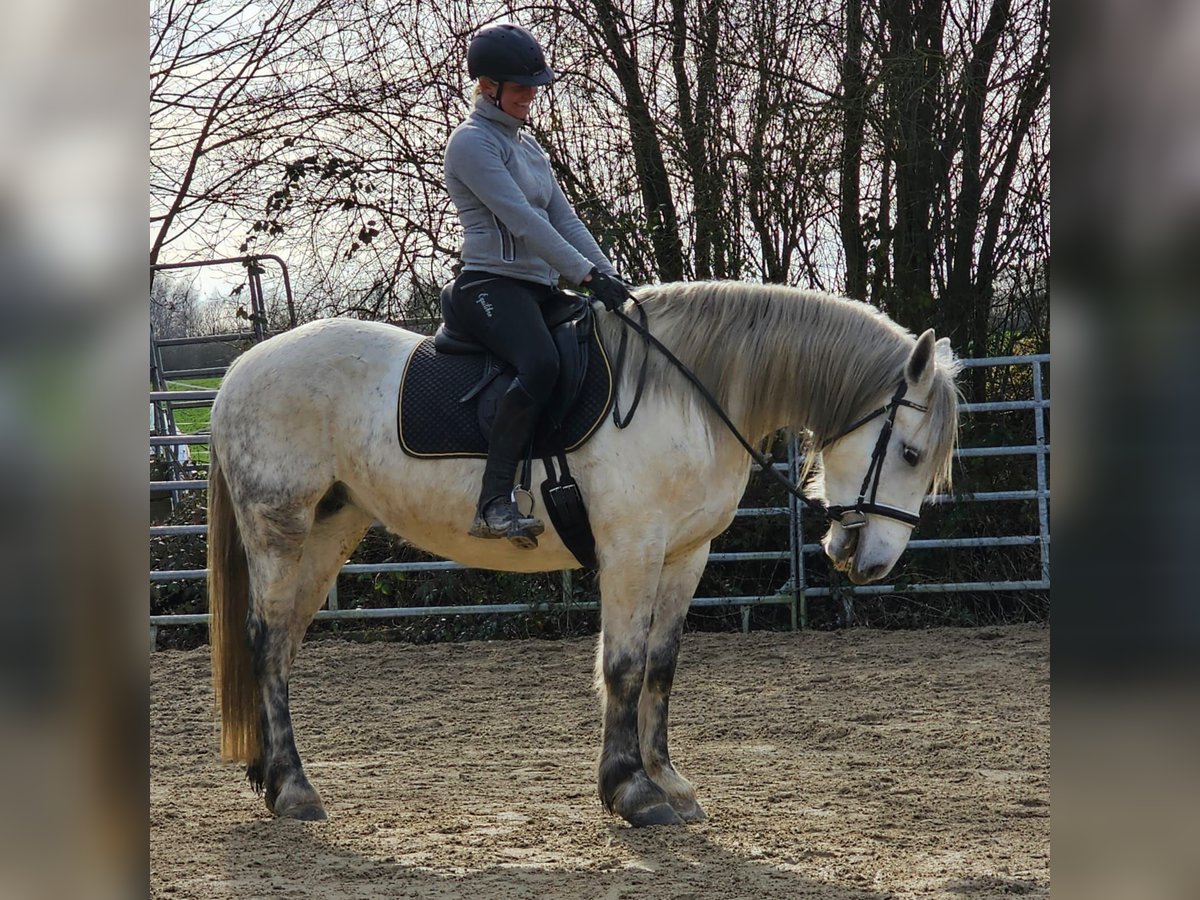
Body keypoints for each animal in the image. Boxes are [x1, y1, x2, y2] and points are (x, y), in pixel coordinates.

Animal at [204, 280, 955, 825]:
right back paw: (294, 790)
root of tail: (241, 368)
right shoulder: (631, 549)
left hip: (329, 529)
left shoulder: (685, 556)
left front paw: (667, 780)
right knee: (267, 641)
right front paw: (632, 792)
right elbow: (622, 666)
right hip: (280, 527)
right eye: (910, 454)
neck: (689, 398)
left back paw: (270, 776)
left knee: (283, 643)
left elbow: (661, 666)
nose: (875, 562)